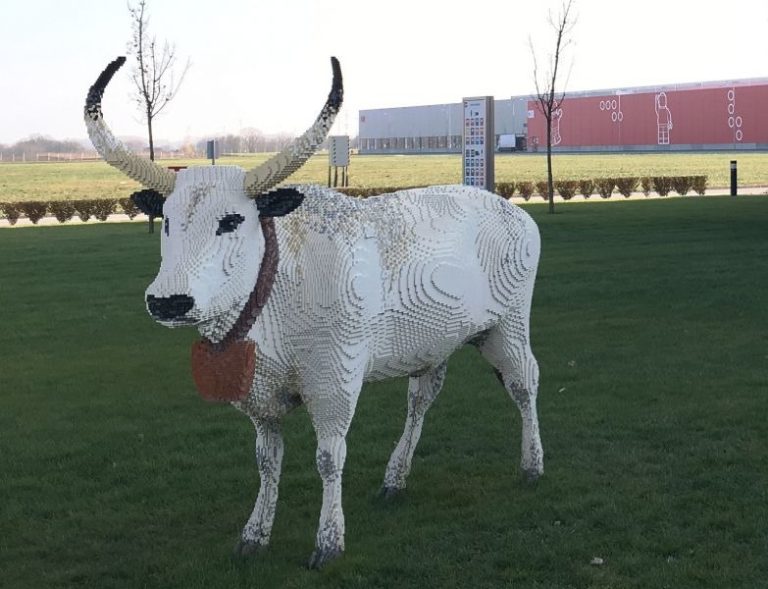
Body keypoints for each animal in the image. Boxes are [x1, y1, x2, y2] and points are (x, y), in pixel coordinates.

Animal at [85, 56, 543, 569]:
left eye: (232, 220)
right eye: (166, 220)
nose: (168, 301)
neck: (274, 294)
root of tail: (512, 210)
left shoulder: (334, 385)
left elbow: (329, 457)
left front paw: (328, 541)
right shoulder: (261, 398)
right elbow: (267, 461)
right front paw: (254, 534)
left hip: (507, 326)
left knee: (524, 383)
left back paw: (532, 466)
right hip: (431, 343)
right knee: (421, 399)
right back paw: (395, 478)